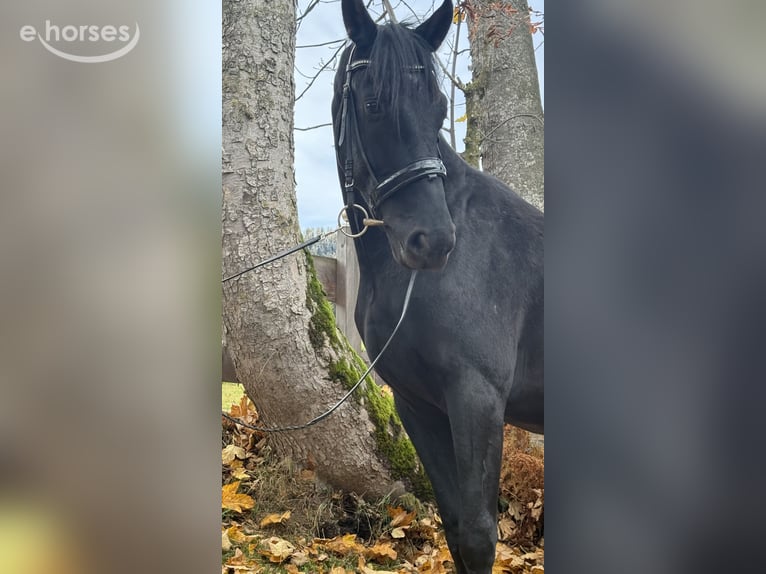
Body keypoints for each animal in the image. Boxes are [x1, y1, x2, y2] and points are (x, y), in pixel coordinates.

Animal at [331, 1, 544, 572]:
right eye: (373, 104)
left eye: (439, 106)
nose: (434, 241)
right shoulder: (417, 404)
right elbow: (455, 530)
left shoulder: (476, 397)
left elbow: (479, 534)